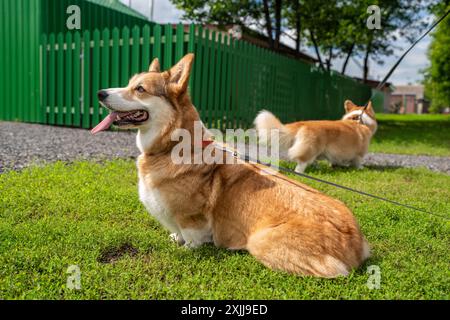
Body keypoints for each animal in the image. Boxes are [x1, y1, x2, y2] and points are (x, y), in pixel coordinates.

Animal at [92, 53, 370, 276]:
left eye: (140, 89)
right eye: (129, 84)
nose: (100, 93)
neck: (174, 146)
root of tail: (355, 244)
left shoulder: (192, 219)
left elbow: (192, 238)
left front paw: (186, 250)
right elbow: (177, 233)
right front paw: (175, 239)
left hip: (261, 241)